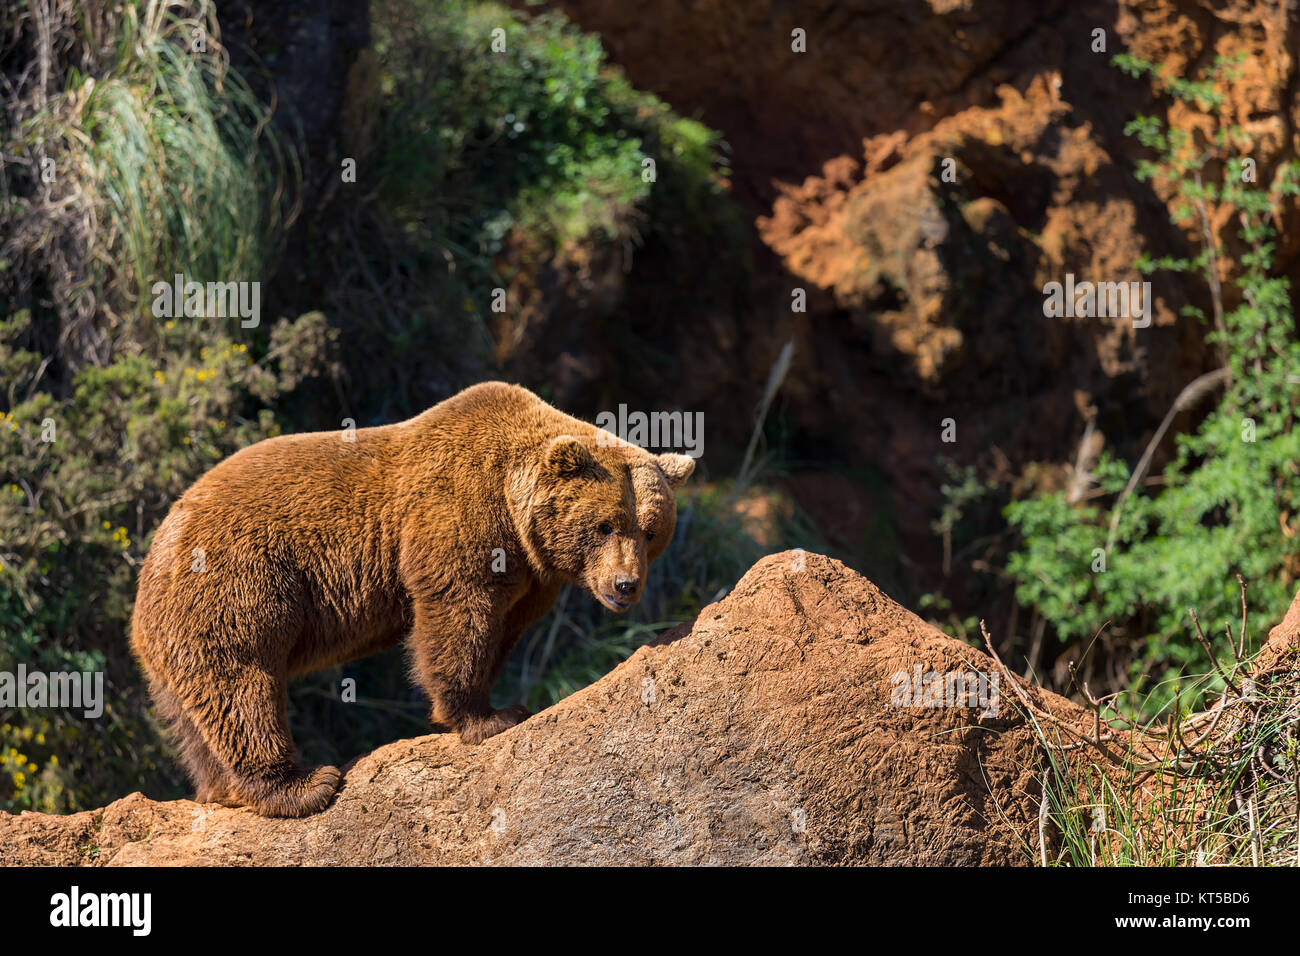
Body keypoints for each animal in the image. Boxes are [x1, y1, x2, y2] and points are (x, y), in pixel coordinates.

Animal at [130, 382, 696, 816]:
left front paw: (496, 702)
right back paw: (303, 784)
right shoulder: (457, 514)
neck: (516, 518)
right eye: (605, 525)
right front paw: (486, 717)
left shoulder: (532, 578)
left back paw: (220, 788)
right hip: (237, 583)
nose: (625, 585)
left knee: (195, 711)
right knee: (243, 680)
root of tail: (155, 550)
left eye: (650, 531)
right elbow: (457, 614)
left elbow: (502, 629)